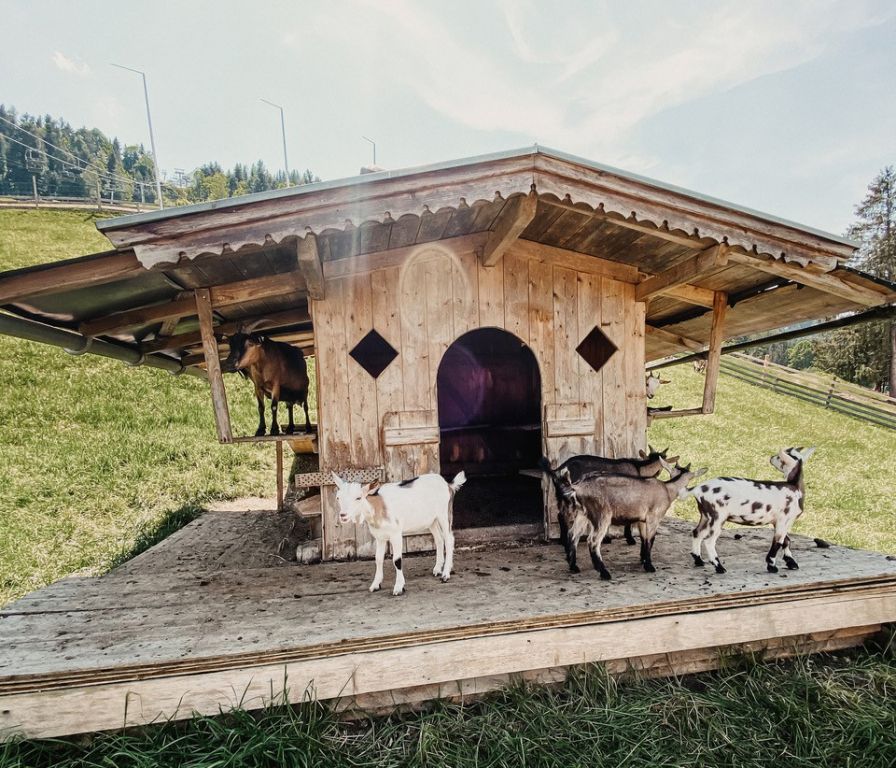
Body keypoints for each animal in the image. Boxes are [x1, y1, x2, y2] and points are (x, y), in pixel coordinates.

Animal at [332, 472, 466, 596]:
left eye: (358, 497)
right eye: (338, 498)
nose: (343, 515)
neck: (379, 506)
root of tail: (448, 484)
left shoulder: (396, 534)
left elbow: (397, 560)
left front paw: (399, 587)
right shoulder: (380, 537)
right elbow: (378, 559)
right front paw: (375, 585)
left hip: (444, 514)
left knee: (449, 539)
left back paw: (446, 574)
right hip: (431, 520)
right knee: (439, 539)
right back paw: (437, 569)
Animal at [688, 448, 820, 572]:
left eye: (779, 457)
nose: (771, 457)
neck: (795, 488)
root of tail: (698, 489)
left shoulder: (779, 521)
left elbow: (786, 541)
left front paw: (791, 562)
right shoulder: (784, 520)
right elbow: (778, 542)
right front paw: (772, 566)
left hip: (706, 516)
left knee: (697, 532)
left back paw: (699, 560)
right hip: (717, 517)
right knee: (709, 541)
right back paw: (719, 567)